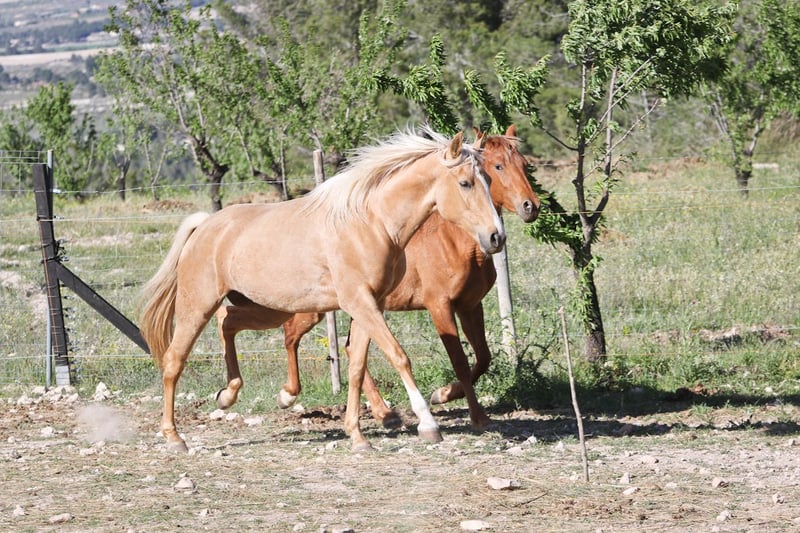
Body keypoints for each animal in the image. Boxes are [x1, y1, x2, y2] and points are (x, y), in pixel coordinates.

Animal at [138, 127, 505, 452]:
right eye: (465, 183)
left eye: (489, 180)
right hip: (197, 305)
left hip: (268, 308)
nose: (496, 237)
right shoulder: (361, 303)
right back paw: (174, 437)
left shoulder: (369, 306)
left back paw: (229, 395)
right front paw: (428, 425)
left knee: (228, 322)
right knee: (174, 360)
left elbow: (356, 368)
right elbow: (399, 356)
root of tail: (205, 225)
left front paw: (358, 437)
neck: (370, 223)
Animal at [213, 125, 539, 432]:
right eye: (497, 167)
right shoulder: (440, 306)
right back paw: (288, 395)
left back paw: (384, 413)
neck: (455, 241)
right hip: (309, 308)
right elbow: (459, 359)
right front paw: (461, 406)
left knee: (345, 349)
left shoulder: (470, 305)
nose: (530, 207)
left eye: (524, 164)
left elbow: (483, 357)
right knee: (290, 334)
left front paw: (450, 396)